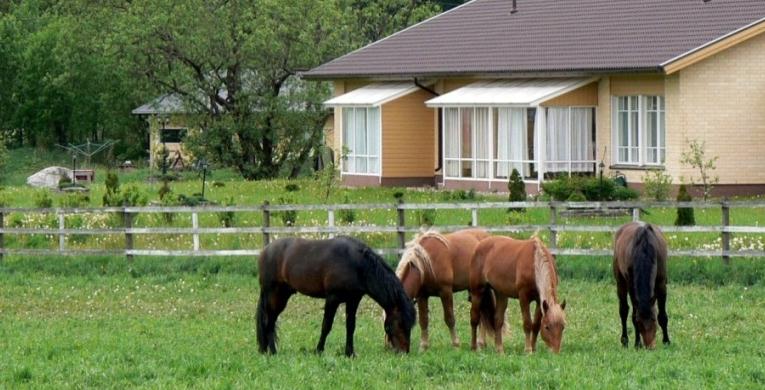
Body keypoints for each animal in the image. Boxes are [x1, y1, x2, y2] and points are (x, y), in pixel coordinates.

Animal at [256, 235, 414, 356]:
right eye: (400, 324)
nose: (404, 352)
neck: (356, 264)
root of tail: (265, 251)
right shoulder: (332, 299)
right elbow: (326, 325)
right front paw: (318, 350)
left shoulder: (353, 300)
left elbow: (350, 326)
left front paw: (349, 353)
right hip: (273, 295)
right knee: (268, 321)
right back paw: (273, 352)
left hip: (282, 296)